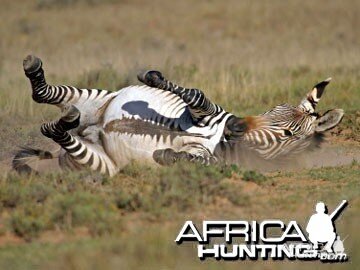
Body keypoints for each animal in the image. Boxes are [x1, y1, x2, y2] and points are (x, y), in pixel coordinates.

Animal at [12, 55, 344, 176]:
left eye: (289, 134)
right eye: (271, 109)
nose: (235, 125)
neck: (220, 140)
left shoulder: (210, 157)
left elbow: (193, 160)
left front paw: (167, 155)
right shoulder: (205, 113)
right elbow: (196, 94)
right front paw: (153, 78)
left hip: (98, 163)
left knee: (55, 130)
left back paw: (65, 122)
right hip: (97, 99)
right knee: (41, 94)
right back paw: (34, 70)